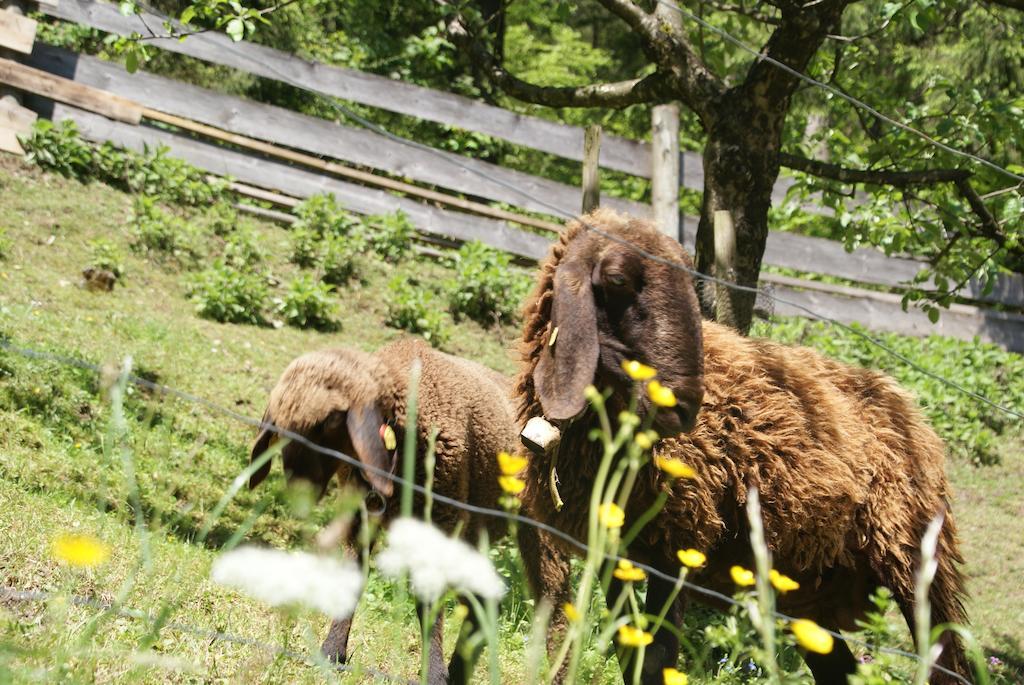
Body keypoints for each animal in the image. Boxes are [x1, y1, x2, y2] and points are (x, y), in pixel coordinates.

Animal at [248, 335, 520, 683]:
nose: (299, 491)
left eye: (332, 420)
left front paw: (433, 673)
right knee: (484, 601)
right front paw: (331, 652)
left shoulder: (436, 523)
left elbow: (428, 605)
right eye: (281, 427)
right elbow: (352, 578)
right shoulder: (359, 517)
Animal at [516, 209, 970, 683]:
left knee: (950, 664)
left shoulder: (678, 540)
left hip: (915, 557)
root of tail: (901, 398)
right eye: (618, 278)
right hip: (811, 596)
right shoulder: (611, 548)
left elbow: (658, 658)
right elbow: (633, 653)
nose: (684, 402)